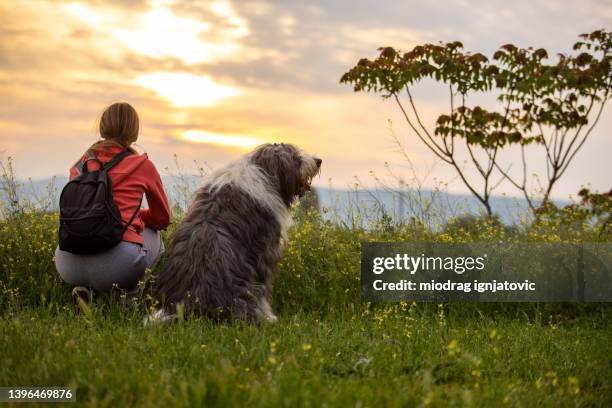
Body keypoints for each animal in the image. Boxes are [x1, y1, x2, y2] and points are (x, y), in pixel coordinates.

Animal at [149, 142, 320, 324]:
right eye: (295, 157)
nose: (319, 161)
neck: (264, 172)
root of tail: (192, 305)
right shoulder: (264, 253)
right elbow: (265, 286)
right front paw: (270, 315)